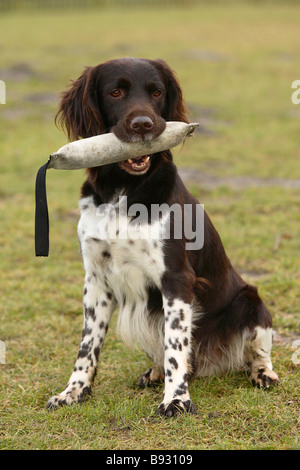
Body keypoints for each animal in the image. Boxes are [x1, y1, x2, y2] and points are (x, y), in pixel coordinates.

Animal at [46, 57, 278, 414]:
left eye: (156, 92)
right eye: (115, 92)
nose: (143, 124)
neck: (123, 192)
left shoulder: (176, 278)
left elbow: (176, 345)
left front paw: (177, 400)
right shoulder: (96, 280)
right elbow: (87, 345)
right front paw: (74, 391)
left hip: (250, 302)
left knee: (256, 351)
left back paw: (262, 373)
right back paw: (154, 372)